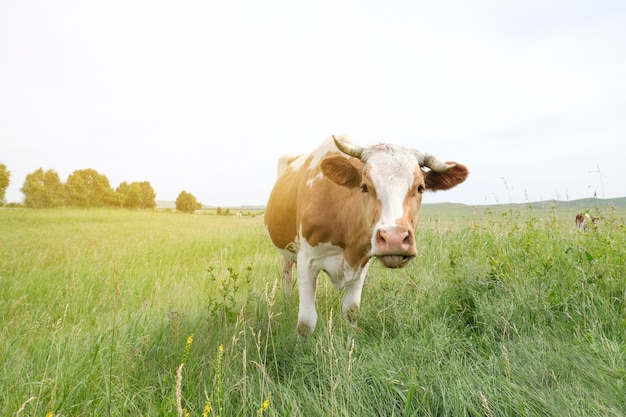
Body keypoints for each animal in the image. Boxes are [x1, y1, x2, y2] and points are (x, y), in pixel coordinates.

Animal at [264, 135, 468, 336]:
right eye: (364, 187)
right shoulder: (307, 260)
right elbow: (306, 323)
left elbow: (351, 311)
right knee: (286, 272)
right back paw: (288, 302)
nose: (394, 239)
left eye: (420, 187)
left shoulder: (362, 262)